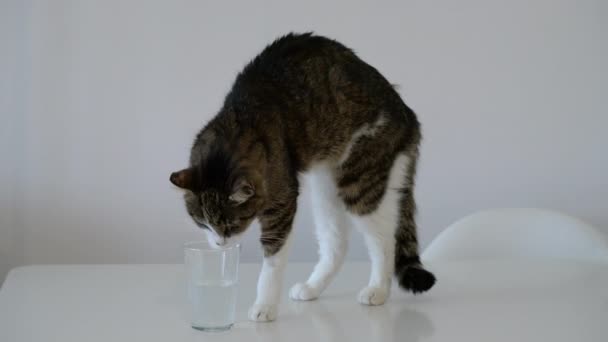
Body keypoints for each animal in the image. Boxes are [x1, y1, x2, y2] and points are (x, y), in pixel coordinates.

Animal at [170, 32, 436, 320]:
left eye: (232, 224)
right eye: (202, 223)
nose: (220, 244)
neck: (238, 122)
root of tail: (408, 114)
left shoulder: (282, 201)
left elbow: (272, 262)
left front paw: (264, 305)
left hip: (362, 179)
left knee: (384, 238)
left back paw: (377, 289)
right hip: (325, 190)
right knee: (336, 244)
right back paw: (312, 287)